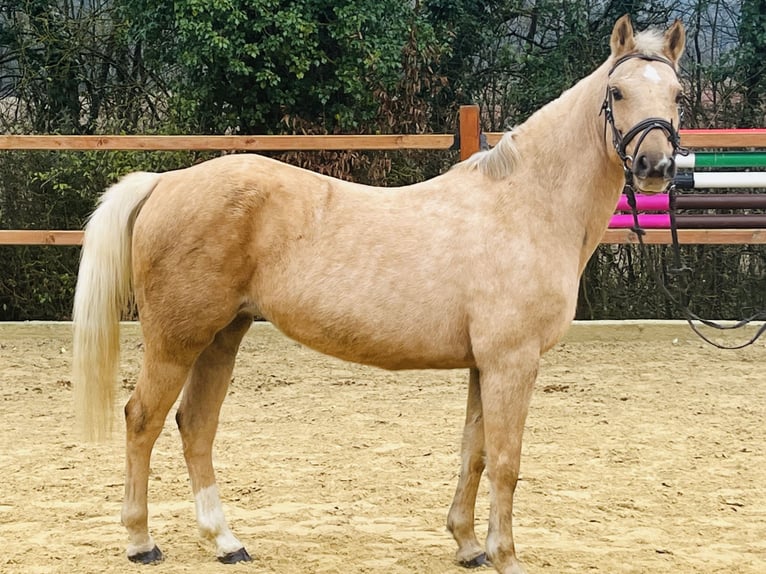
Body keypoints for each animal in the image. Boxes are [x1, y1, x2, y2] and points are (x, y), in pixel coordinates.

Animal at [70, 15, 684, 572]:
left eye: (677, 94)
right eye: (617, 92)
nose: (655, 166)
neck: (525, 205)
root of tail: (164, 182)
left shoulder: (484, 365)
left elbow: (475, 452)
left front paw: (467, 546)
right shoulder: (512, 361)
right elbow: (506, 461)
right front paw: (504, 556)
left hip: (223, 335)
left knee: (196, 424)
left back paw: (225, 541)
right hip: (177, 340)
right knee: (142, 419)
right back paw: (141, 542)